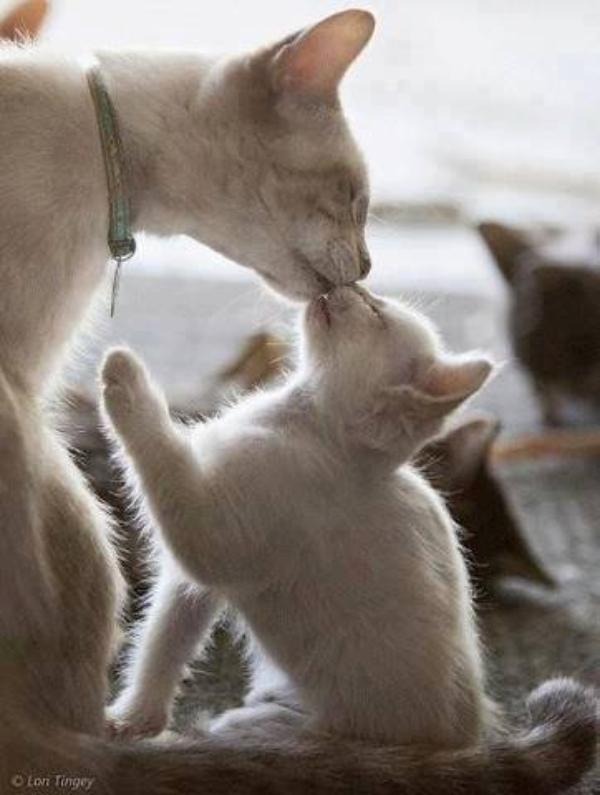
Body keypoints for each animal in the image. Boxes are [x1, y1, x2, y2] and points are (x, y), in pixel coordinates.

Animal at [98, 285, 597, 794]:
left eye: (374, 311)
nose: (342, 288)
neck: (298, 422)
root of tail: (465, 743)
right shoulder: (192, 583)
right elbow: (163, 642)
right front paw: (135, 718)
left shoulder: (215, 536)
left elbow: (168, 464)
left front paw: (126, 380)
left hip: (291, 733)